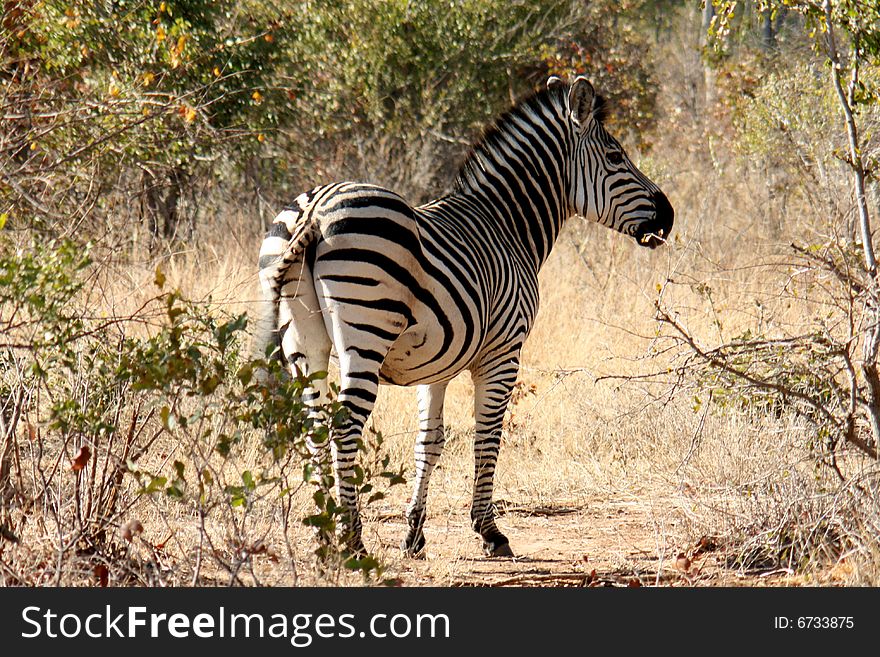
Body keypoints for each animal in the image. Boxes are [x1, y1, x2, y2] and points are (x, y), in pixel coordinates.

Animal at [251, 77, 676, 560]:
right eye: (616, 157)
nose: (669, 215)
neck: (509, 227)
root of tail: (315, 210)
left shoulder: (435, 365)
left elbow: (429, 442)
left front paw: (414, 534)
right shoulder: (503, 352)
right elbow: (487, 436)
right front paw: (490, 531)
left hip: (302, 342)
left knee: (314, 428)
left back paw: (326, 533)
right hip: (366, 333)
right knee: (344, 427)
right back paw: (351, 539)